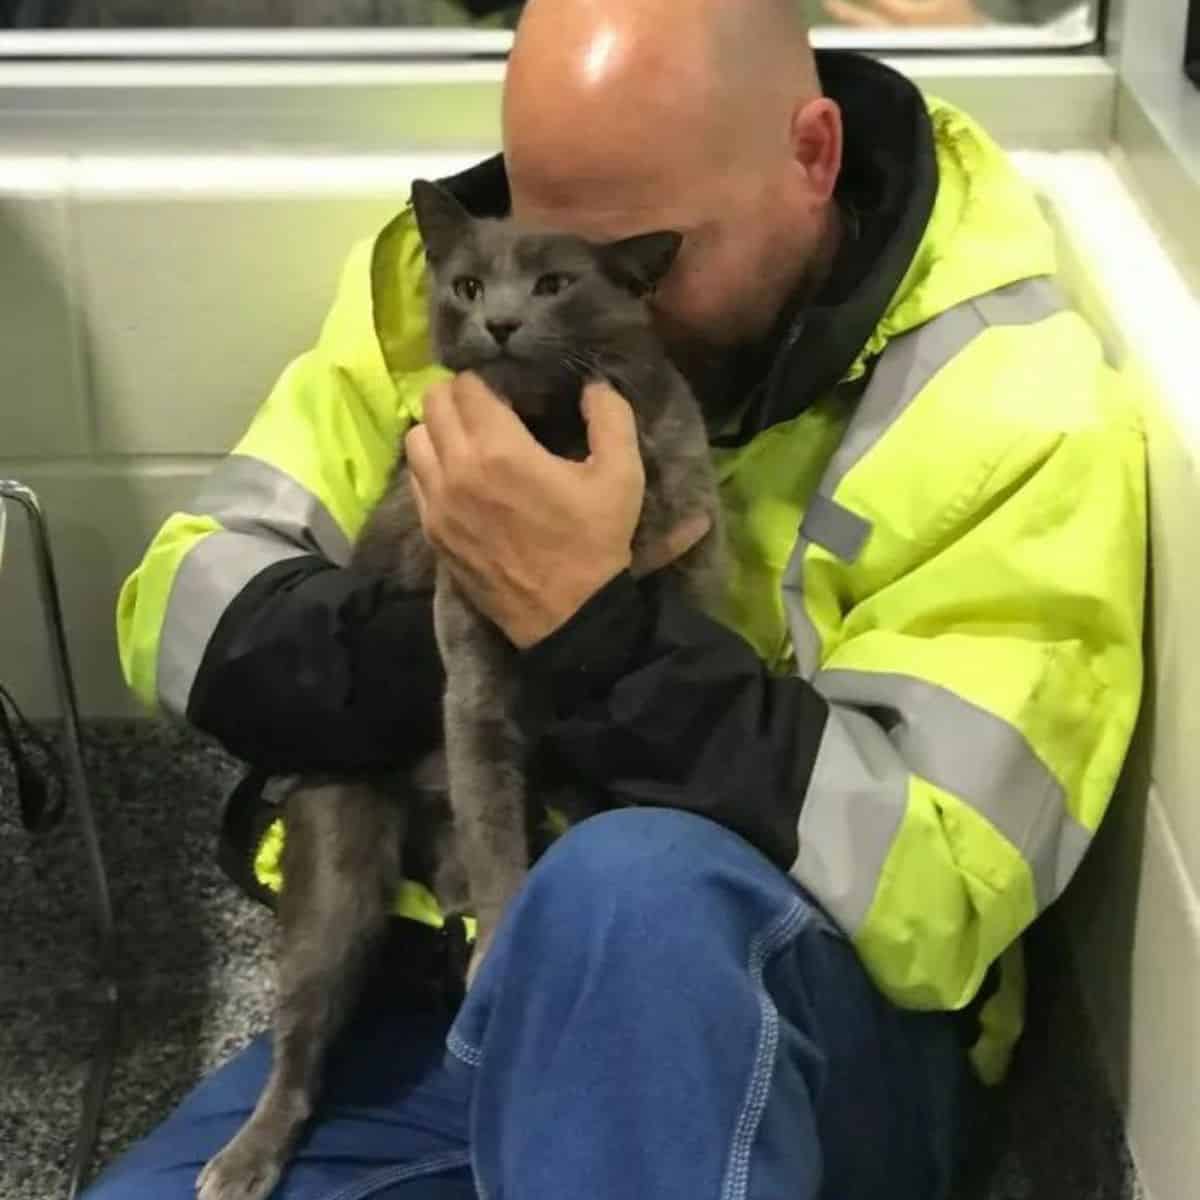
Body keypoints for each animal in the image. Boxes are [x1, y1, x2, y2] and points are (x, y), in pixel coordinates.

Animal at [196, 177, 720, 1200]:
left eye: (556, 283)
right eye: (469, 284)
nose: (502, 321)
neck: (555, 437)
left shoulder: (689, 549)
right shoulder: (469, 663)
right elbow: (492, 814)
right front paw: (504, 934)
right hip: (339, 851)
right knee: (304, 1037)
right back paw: (244, 1156)